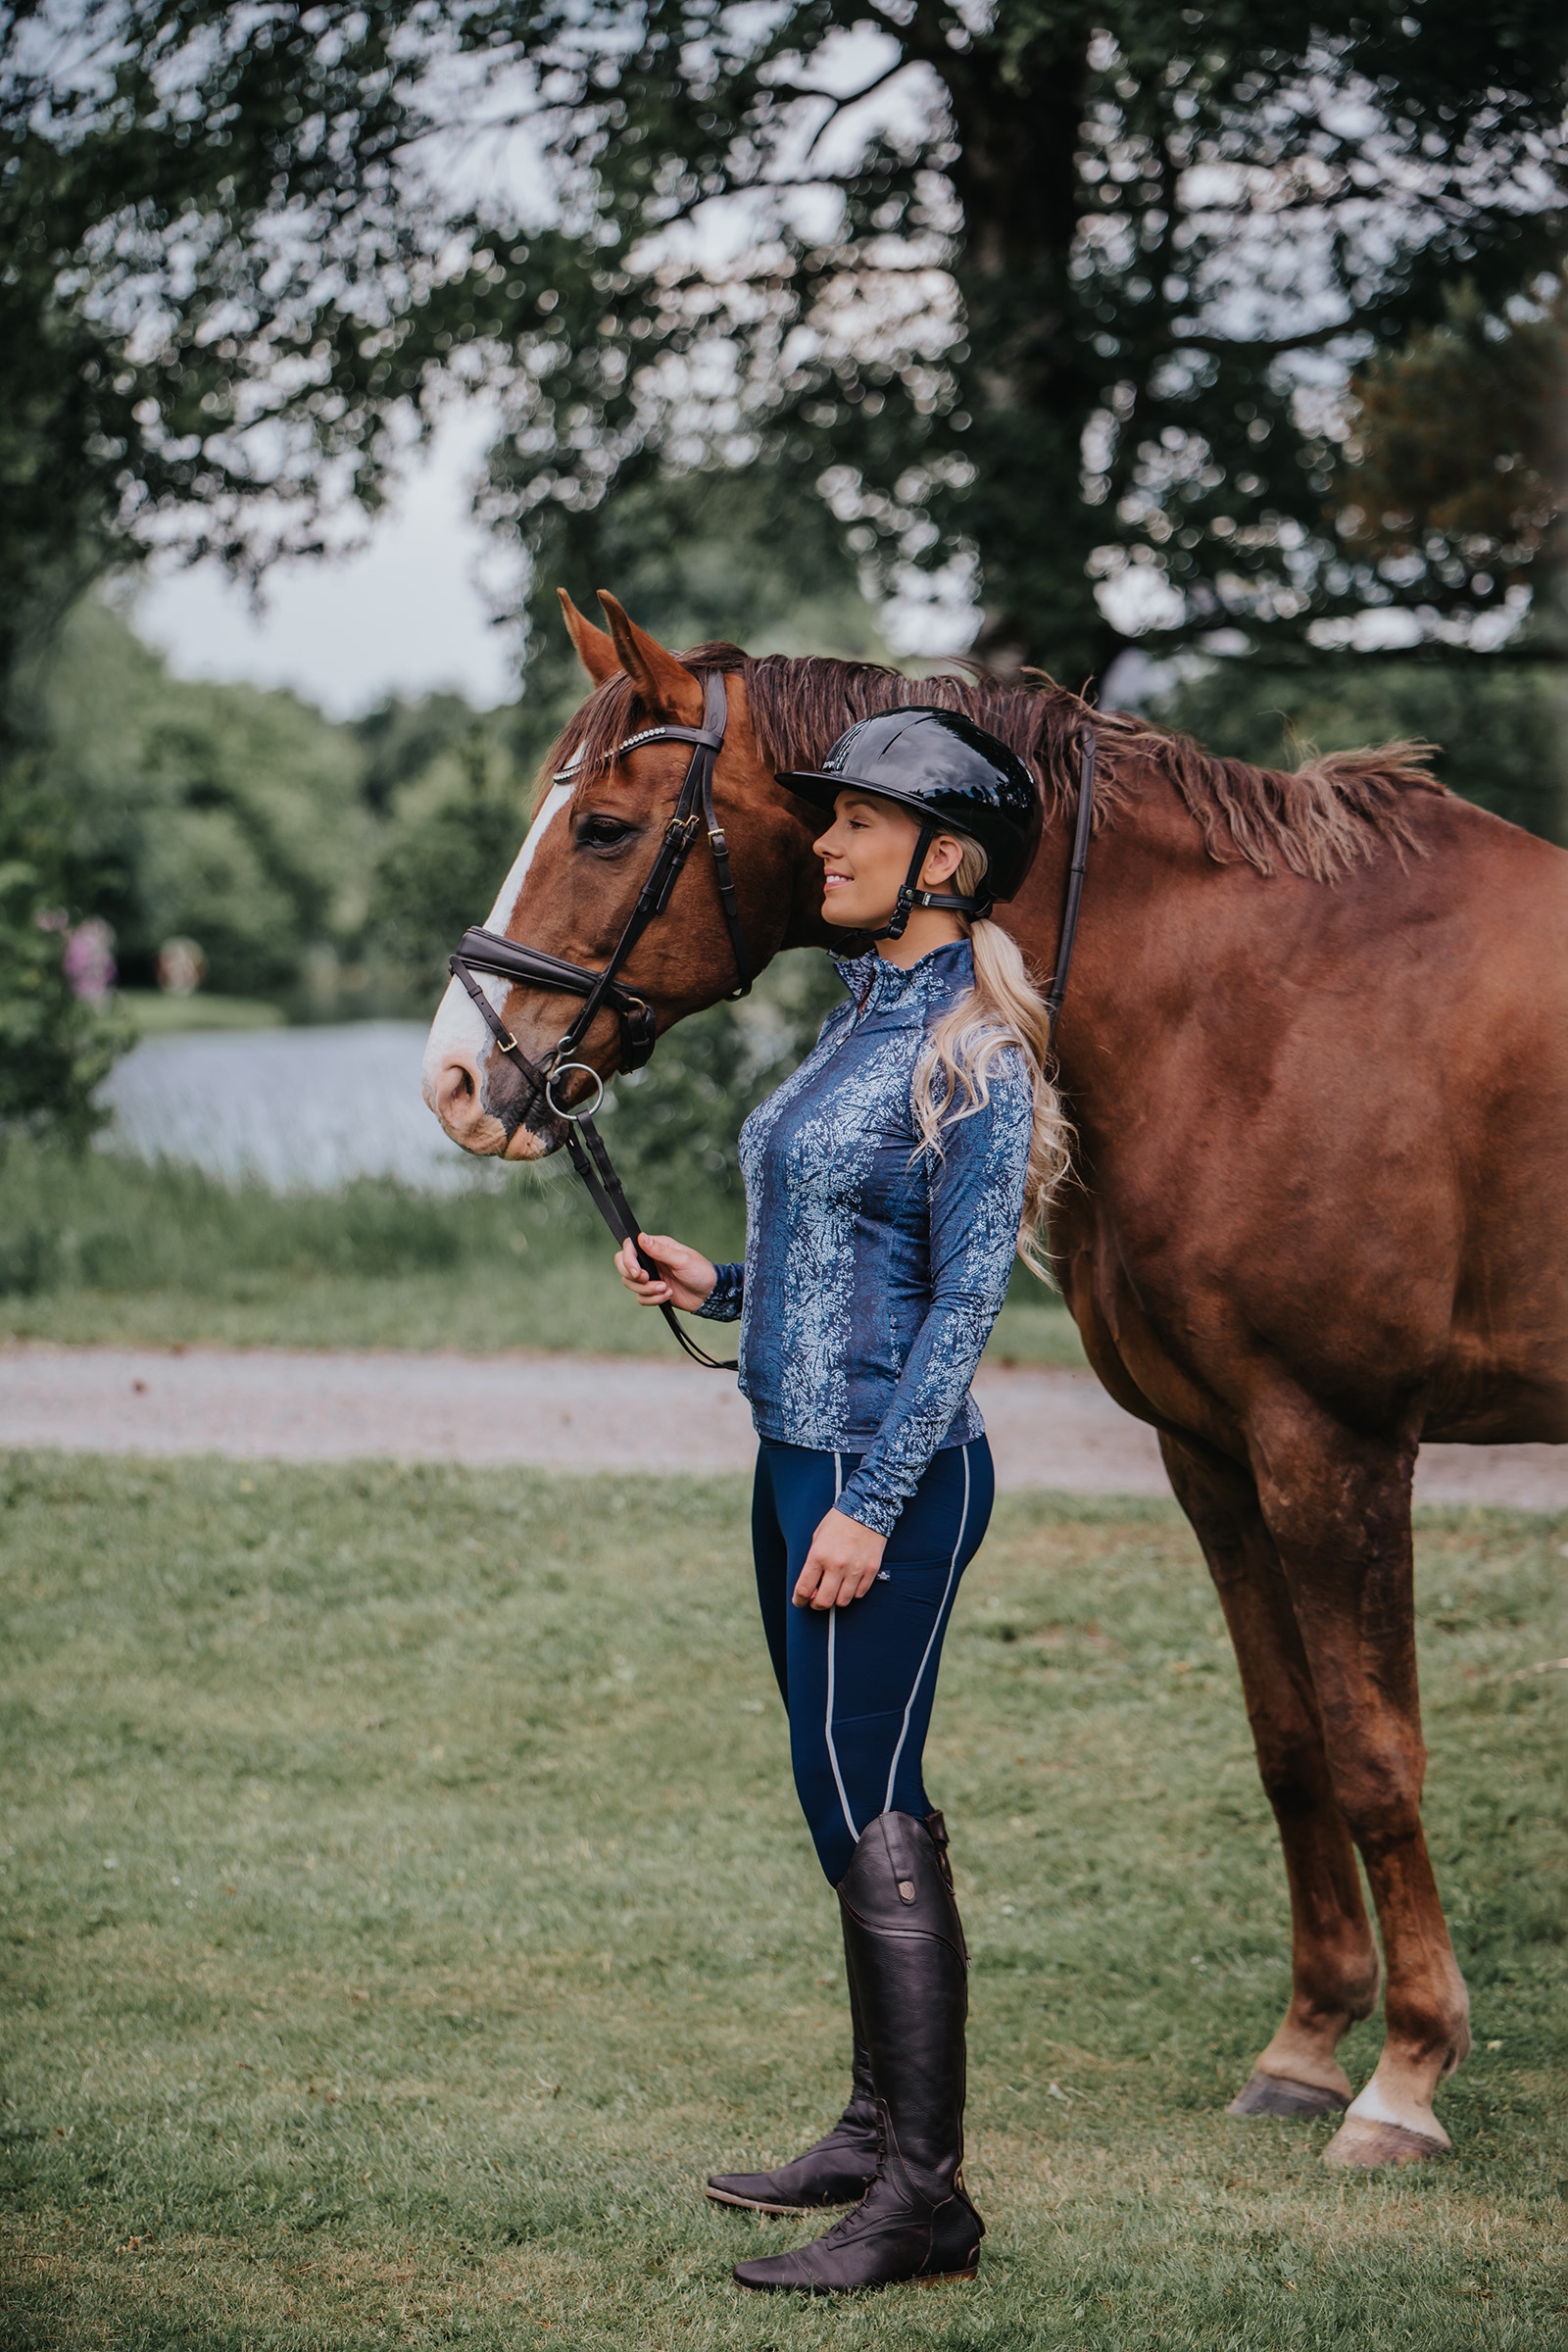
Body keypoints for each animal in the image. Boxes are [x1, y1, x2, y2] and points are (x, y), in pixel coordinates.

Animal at [423, 589, 1568, 2169]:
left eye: (600, 826)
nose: (457, 1081)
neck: (1260, 1006)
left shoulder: (1335, 1446)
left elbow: (1377, 1756)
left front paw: (1404, 2079)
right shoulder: (1216, 1451)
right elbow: (1290, 1747)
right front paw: (1303, 2048)